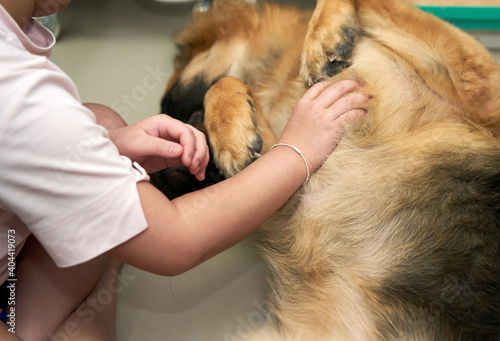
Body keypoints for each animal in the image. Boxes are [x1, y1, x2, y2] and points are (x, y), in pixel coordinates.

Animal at [151, 0, 500, 338]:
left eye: (168, 105)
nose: (156, 183)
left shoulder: (482, 89)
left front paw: (323, 36)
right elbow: (231, 90)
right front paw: (233, 133)